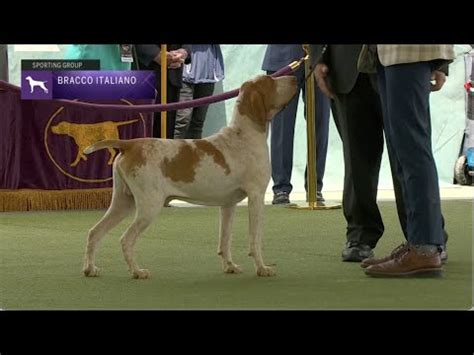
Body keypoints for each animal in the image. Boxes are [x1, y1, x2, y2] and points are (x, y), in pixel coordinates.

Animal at [82, 76, 296, 280]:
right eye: (270, 81)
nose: (295, 78)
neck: (243, 135)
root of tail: (130, 144)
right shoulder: (256, 196)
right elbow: (255, 239)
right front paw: (262, 268)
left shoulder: (228, 205)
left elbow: (225, 239)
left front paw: (229, 266)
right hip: (148, 206)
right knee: (126, 239)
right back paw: (137, 271)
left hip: (123, 203)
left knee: (94, 232)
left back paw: (90, 269)